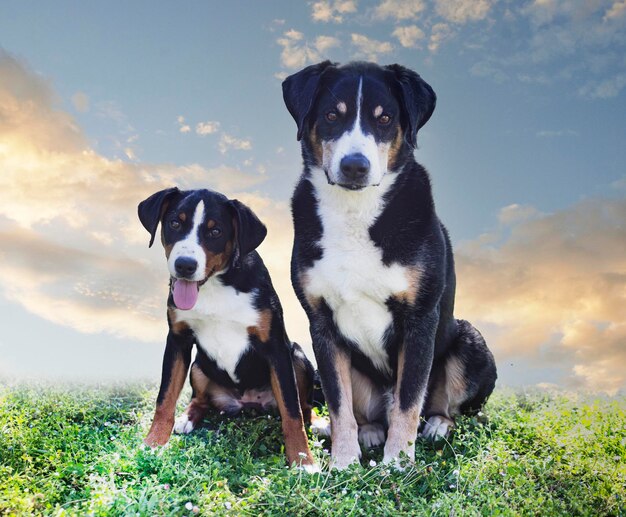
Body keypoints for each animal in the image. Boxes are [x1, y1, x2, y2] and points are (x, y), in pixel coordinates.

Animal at [139, 187, 320, 470]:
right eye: (175, 223)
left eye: (215, 231)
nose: (185, 265)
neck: (215, 286)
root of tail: (246, 401)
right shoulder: (177, 340)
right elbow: (165, 398)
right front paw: (154, 443)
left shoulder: (276, 349)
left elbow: (292, 413)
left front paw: (303, 461)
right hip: (198, 366)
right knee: (199, 399)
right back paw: (186, 418)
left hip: (298, 357)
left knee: (306, 407)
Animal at [280, 61, 494, 468]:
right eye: (331, 115)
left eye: (385, 119)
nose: (355, 166)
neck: (355, 214)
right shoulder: (322, 324)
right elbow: (339, 405)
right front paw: (343, 462)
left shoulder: (419, 319)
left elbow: (408, 402)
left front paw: (397, 464)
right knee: (367, 411)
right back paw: (369, 431)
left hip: (469, 342)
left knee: (444, 407)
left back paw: (437, 425)